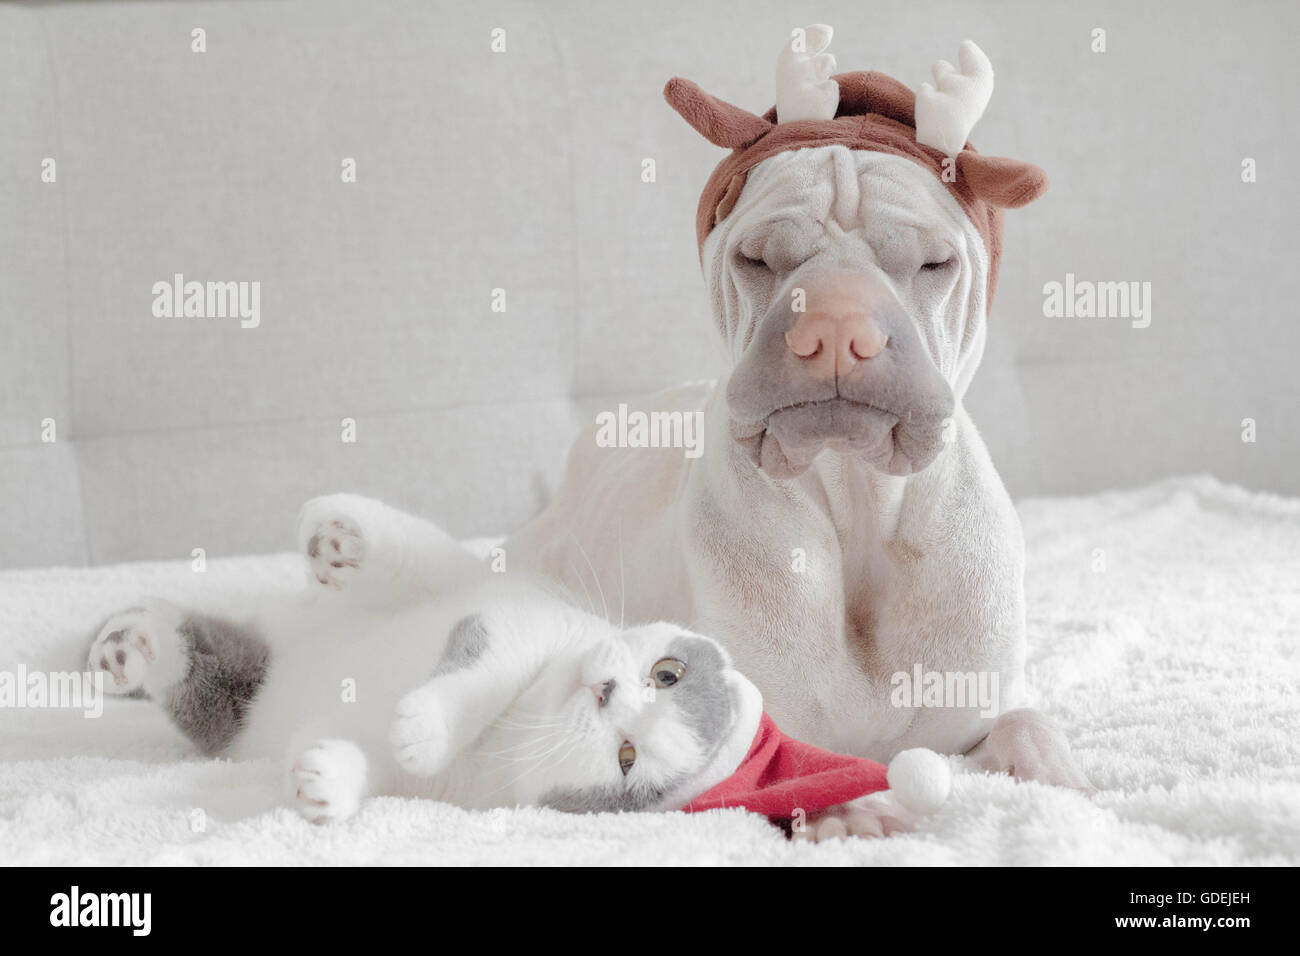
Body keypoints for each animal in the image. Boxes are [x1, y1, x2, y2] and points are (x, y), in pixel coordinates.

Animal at [89, 494, 759, 822]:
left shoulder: (426, 786)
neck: (519, 722)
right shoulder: (525, 615)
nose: (607, 691)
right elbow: (487, 660)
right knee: (409, 551)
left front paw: (326, 779)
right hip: (433, 577)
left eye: (628, 758)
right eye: (667, 673)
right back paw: (340, 536)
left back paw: (135, 649)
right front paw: (432, 722)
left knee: (210, 678)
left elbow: (361, 760)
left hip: (237, 711)